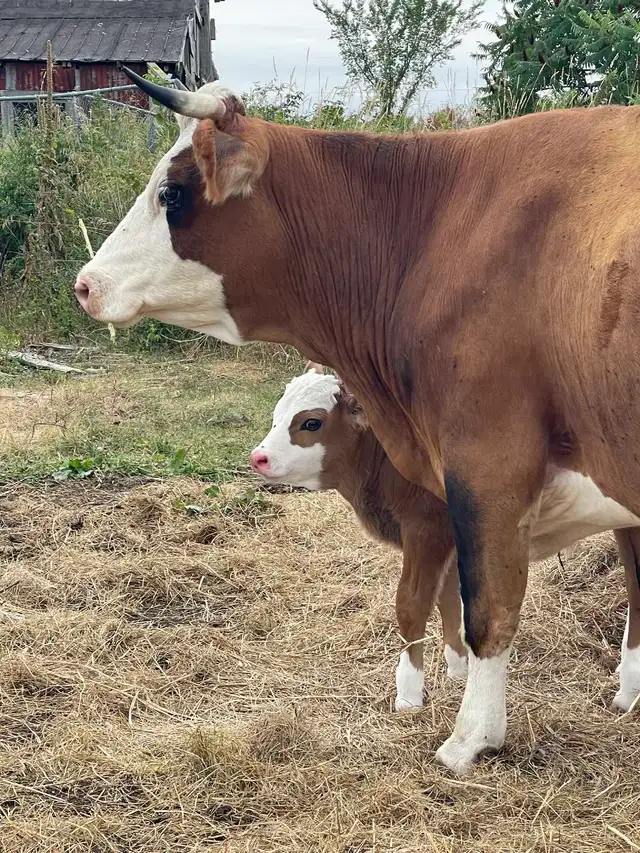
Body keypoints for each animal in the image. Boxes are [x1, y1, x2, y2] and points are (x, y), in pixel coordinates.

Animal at [251, 363, 640, 715]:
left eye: (311, 422)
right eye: (276, 415)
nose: (259, 458)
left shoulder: (425, 530)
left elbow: (412, 604)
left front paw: (409, 694)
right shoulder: (450, 541)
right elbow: (449, 598)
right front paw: (458, 666)